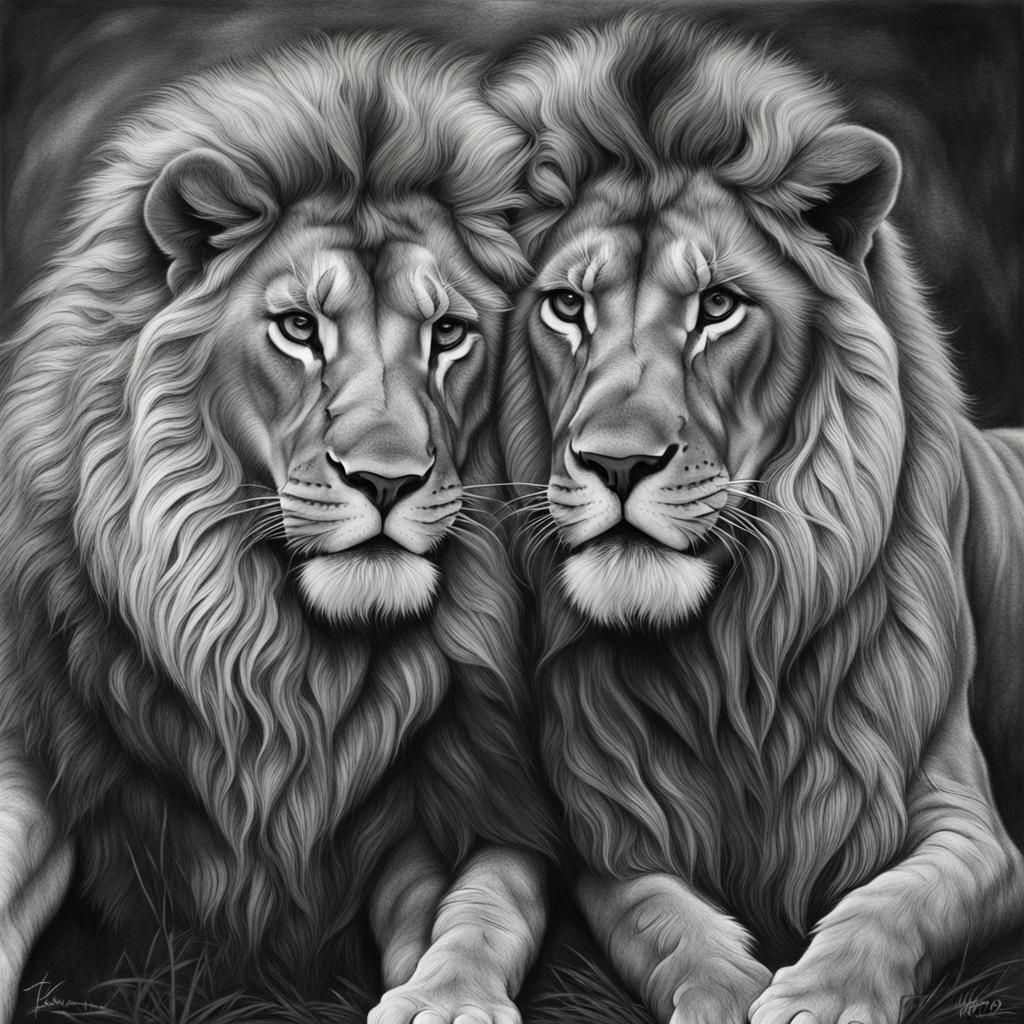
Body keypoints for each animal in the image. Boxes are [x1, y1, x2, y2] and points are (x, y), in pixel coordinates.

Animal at [0, 31, 556, 1021]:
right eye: (299, 327)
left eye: (449, 333)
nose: (387, 480)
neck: (278, 658)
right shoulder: (52, 736)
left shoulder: (479, 789)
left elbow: (488, 903)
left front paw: (445, 997)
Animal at [488, 13, 1024, 1024]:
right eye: (567, 306)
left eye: (718, 306)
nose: (617, 463)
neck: (730, 658)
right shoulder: (611, 838)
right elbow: (669, 927)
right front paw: (726, 994)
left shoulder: (972, 828)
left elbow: (892, 902)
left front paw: (820, 996)